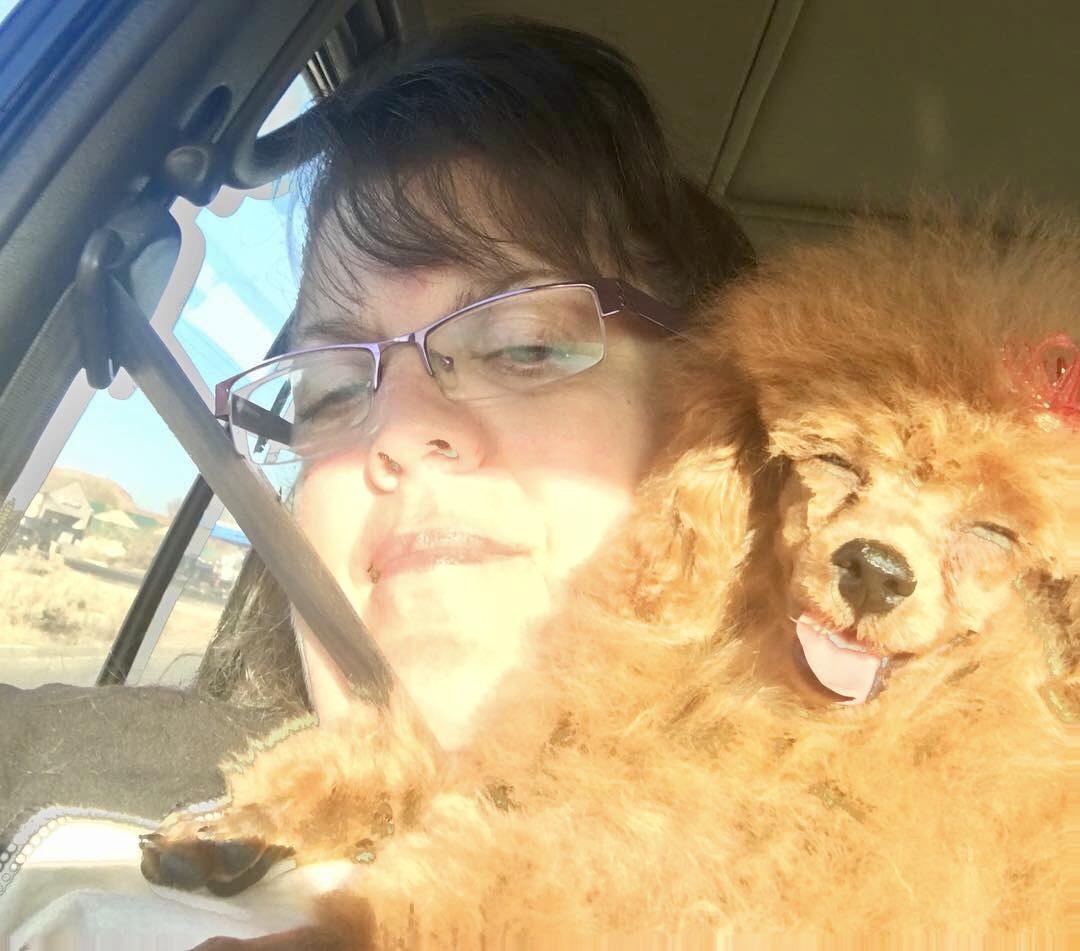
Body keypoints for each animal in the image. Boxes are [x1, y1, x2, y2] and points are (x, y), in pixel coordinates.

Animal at [143, 208, 1077, 945]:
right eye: (834, 460)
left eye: (993, 533)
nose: (877, 571)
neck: (773, 697)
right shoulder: (572, 747)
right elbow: (433, 766)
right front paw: (243, 821)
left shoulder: (742, 882)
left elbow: (489, 899)